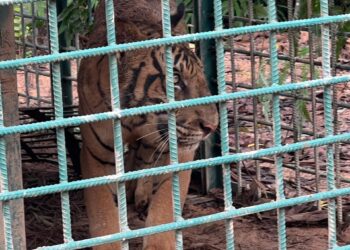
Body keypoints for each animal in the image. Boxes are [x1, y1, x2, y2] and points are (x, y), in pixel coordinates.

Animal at [77, 0, 217, 249]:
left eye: (201, 76)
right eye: (175, 80)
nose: (213, 126)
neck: (134, 120)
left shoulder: (179, 153)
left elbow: (164, 210)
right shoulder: (96, 156)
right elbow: (104, 218)